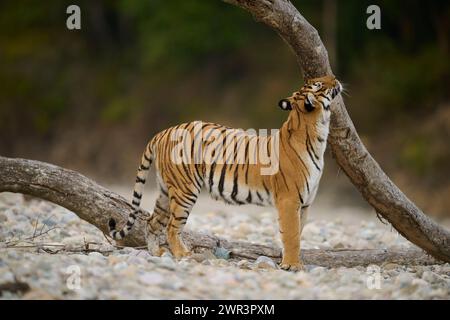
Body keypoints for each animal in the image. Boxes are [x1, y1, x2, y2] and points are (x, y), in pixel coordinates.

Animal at [108, 75, 342, 270]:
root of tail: (164, 131)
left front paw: (294, 263)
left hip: (166, 191)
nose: (335, 78)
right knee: (172, 228)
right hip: (185, 191)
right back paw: (183, 255)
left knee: (151, 222)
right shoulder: (289, 200)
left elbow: (298, 234)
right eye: (319, 84)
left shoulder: (305, 203)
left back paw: (156, 253)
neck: (318, 132)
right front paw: (292, 266)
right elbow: (292, 235)